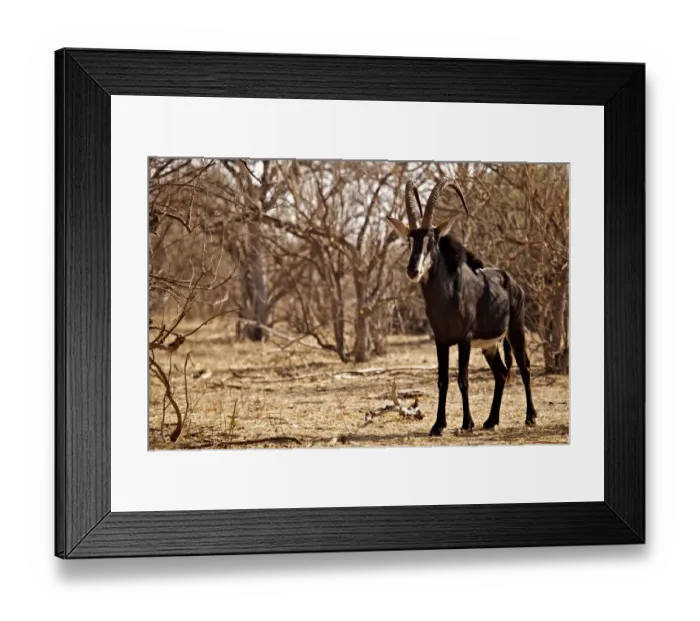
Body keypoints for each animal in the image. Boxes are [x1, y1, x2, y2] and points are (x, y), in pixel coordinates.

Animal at [388, 178, 537, 436]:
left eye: (432, 241)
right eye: (410, 240)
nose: (413, 270)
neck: (446, 297)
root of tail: (513, 282)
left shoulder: (464, 340)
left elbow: (463, 380)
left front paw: (467, 423)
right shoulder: (441, 341)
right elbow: (442, 381)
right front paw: (438, 425)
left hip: (515, 331)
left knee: (525, 368)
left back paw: (530, 417)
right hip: (489, 346)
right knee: (500, 373)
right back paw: (491, 420)